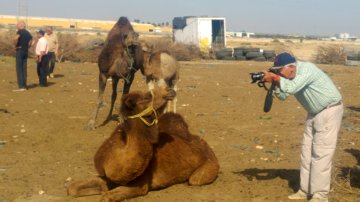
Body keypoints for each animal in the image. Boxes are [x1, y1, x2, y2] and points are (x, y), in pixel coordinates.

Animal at [68, 87, 219, 202]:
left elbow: (106, 196)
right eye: (147, 97)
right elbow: (72, 188)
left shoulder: (141, 185)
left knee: (194, 180)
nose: (170, 90)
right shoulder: (107, 176)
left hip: (207, 167)